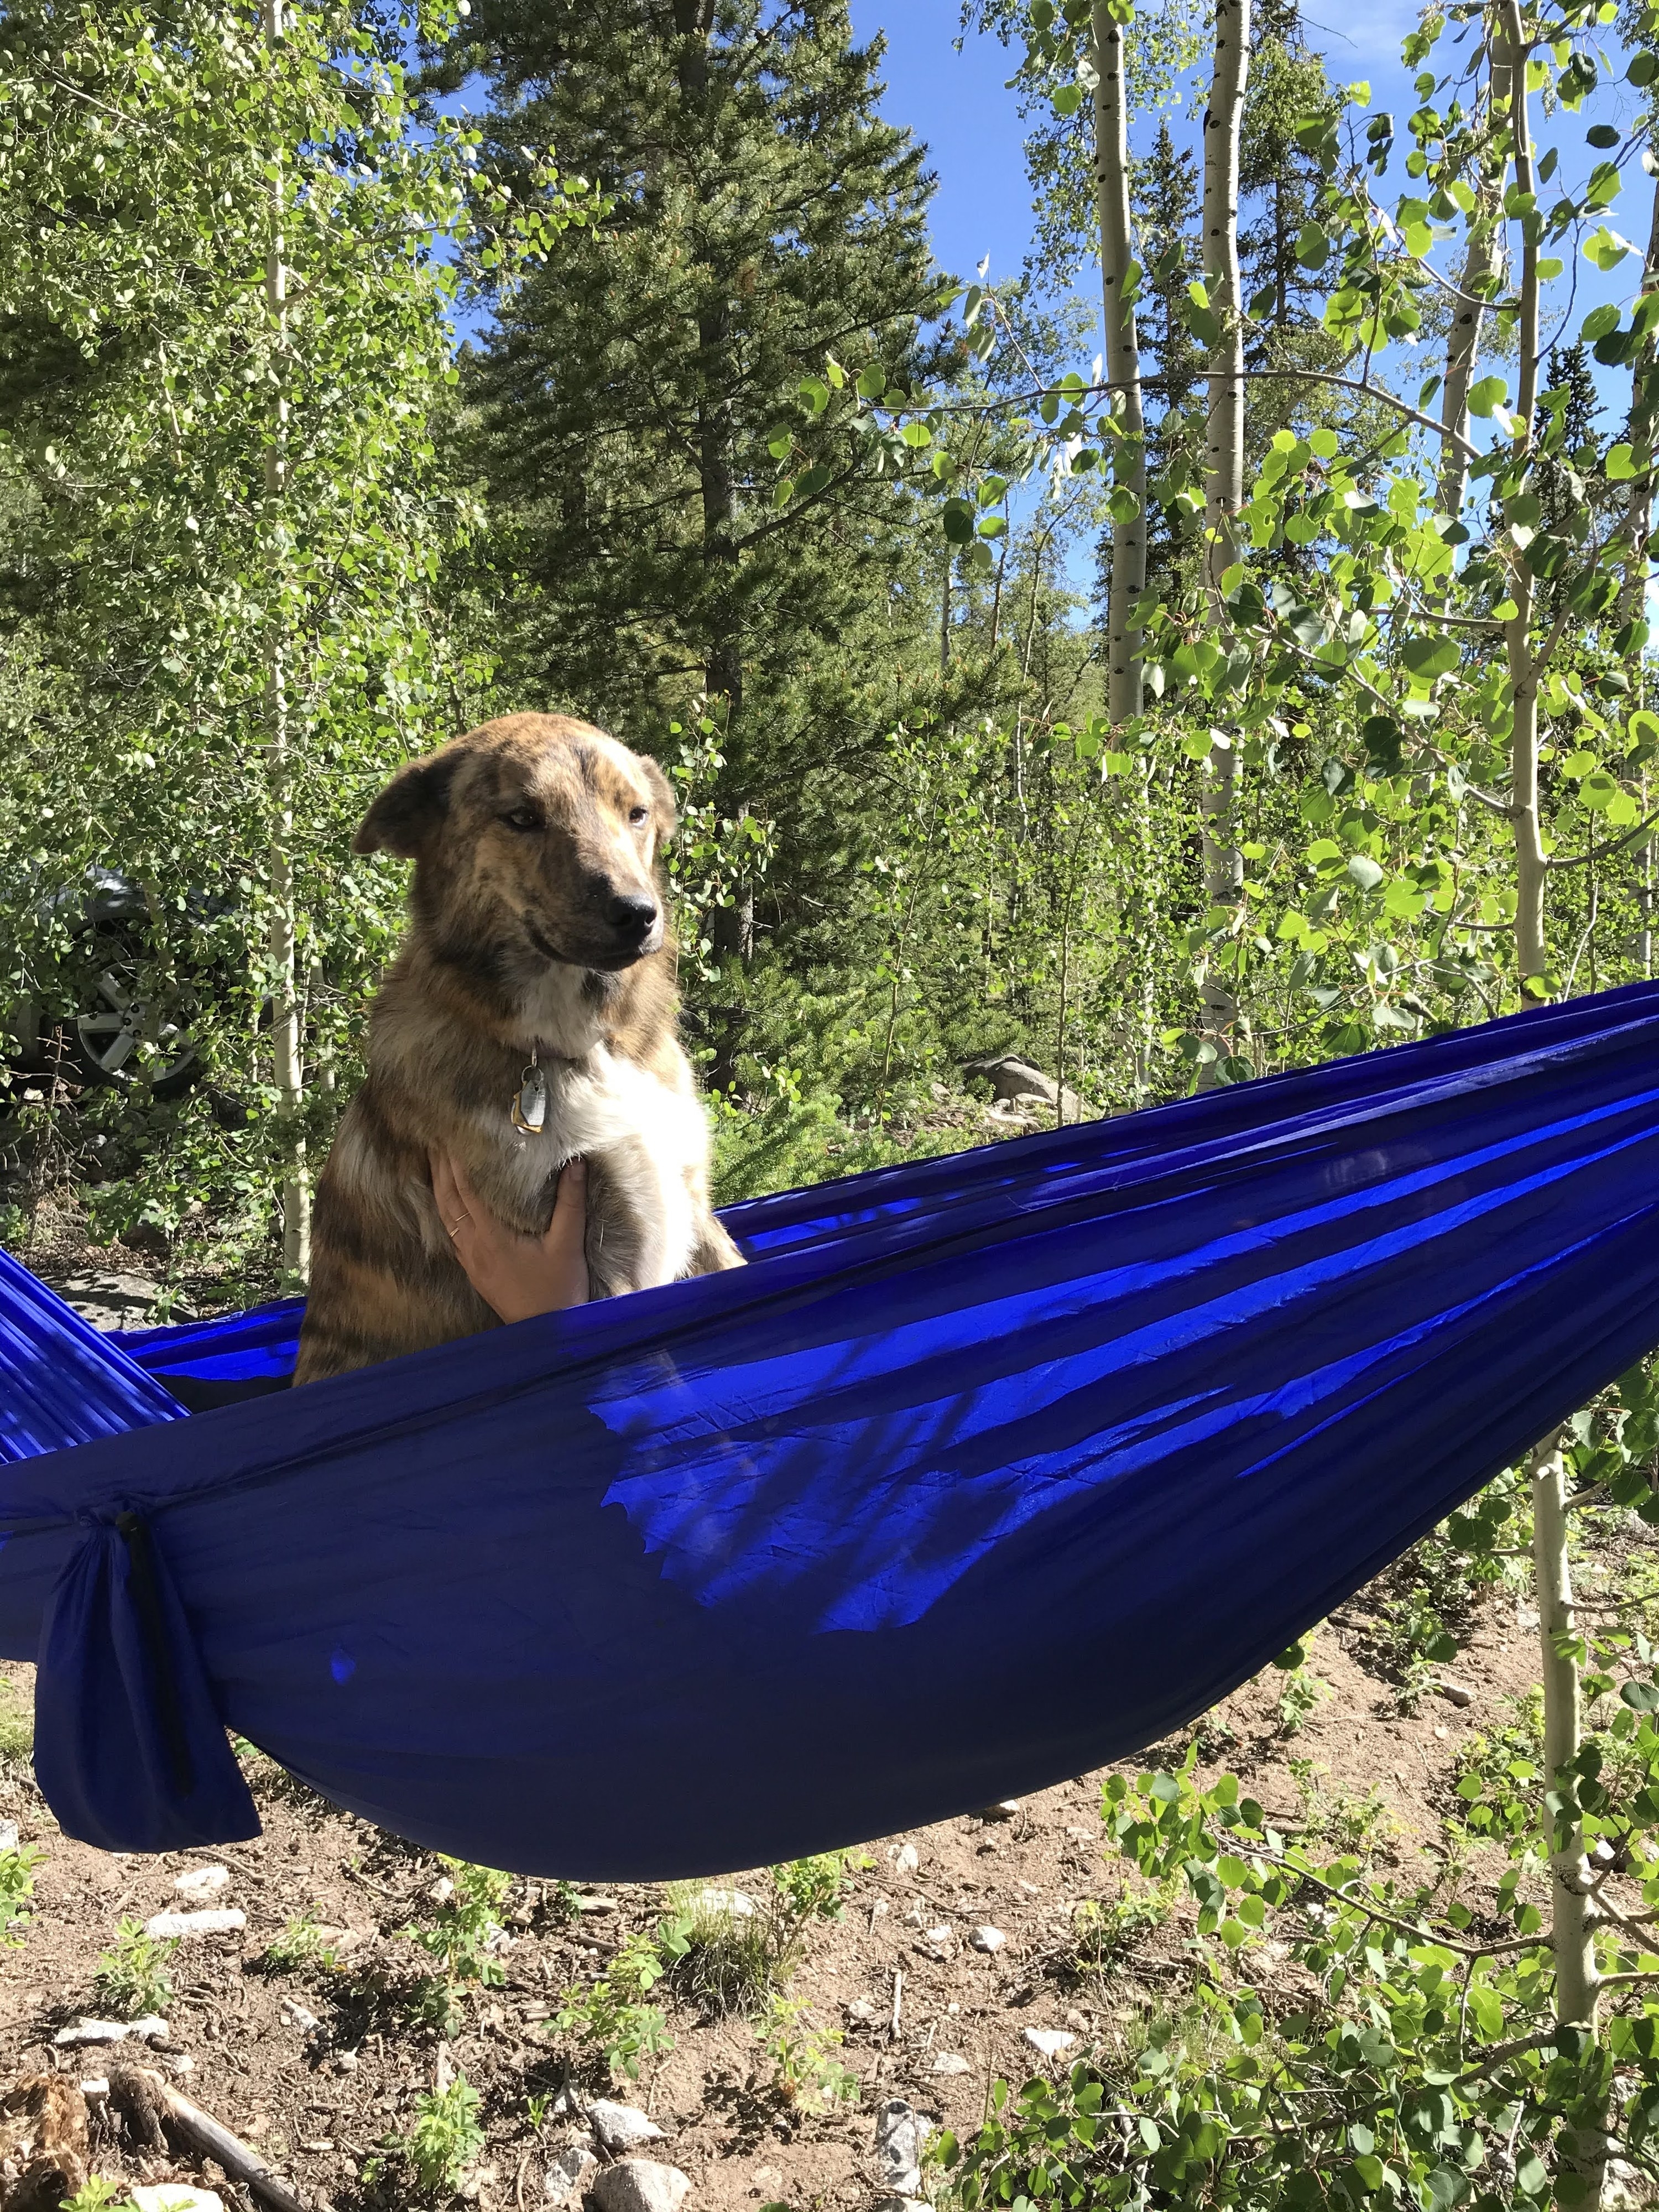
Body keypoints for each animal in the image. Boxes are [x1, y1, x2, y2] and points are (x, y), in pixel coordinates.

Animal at [292, 712, 748, 1380]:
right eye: (523, 817)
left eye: (636, 813)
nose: (639, 914)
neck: (581, 1047)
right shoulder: (600, 1257)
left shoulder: (687, 1200)